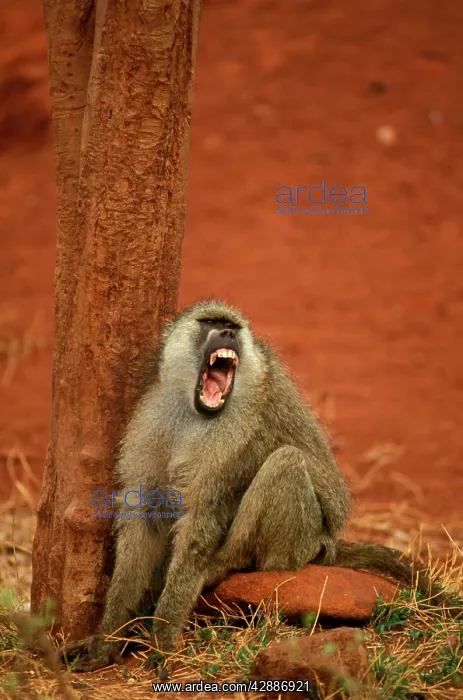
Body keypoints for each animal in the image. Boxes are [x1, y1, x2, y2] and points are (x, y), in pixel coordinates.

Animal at [61, 299, 462, 674]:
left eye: (233, 326)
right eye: (210, 322)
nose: (228, 334)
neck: (195, 412)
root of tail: (328, 545)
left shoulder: (234, 440)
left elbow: (200, 523)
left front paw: (163, 637)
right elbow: (143, 522)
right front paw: (106, 640)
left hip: (303, 545)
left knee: (284, 464)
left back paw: (223, 565)